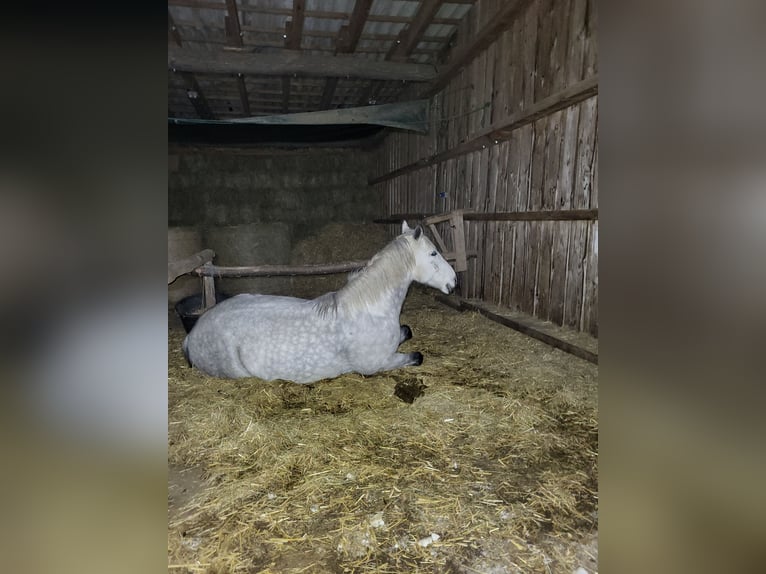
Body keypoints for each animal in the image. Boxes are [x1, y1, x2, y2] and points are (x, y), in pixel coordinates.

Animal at [182, 221, 457, 384]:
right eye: (433, 253)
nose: (454, 281)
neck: (369, 310)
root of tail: (191, 336)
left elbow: (407, 330)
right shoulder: (379, 363)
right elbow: (418, 356)